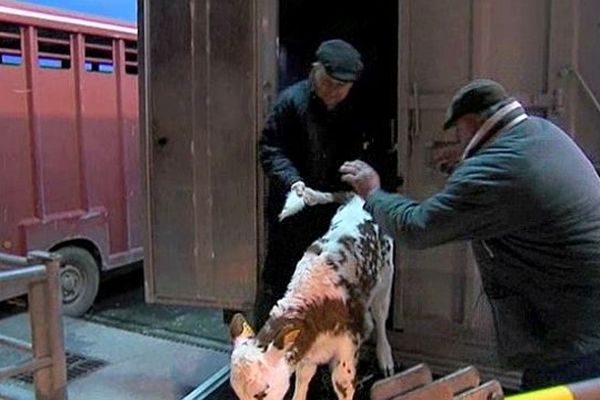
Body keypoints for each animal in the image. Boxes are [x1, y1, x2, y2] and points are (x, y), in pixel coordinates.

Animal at [229, 191, 394, 400]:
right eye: (237, 392)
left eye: (262, 392)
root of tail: (356, 200)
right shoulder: (307, 354)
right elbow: (302, 381)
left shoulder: (346, 356)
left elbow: (342, 385)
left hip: (386, 274)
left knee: (380, 318)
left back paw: (386, 358)